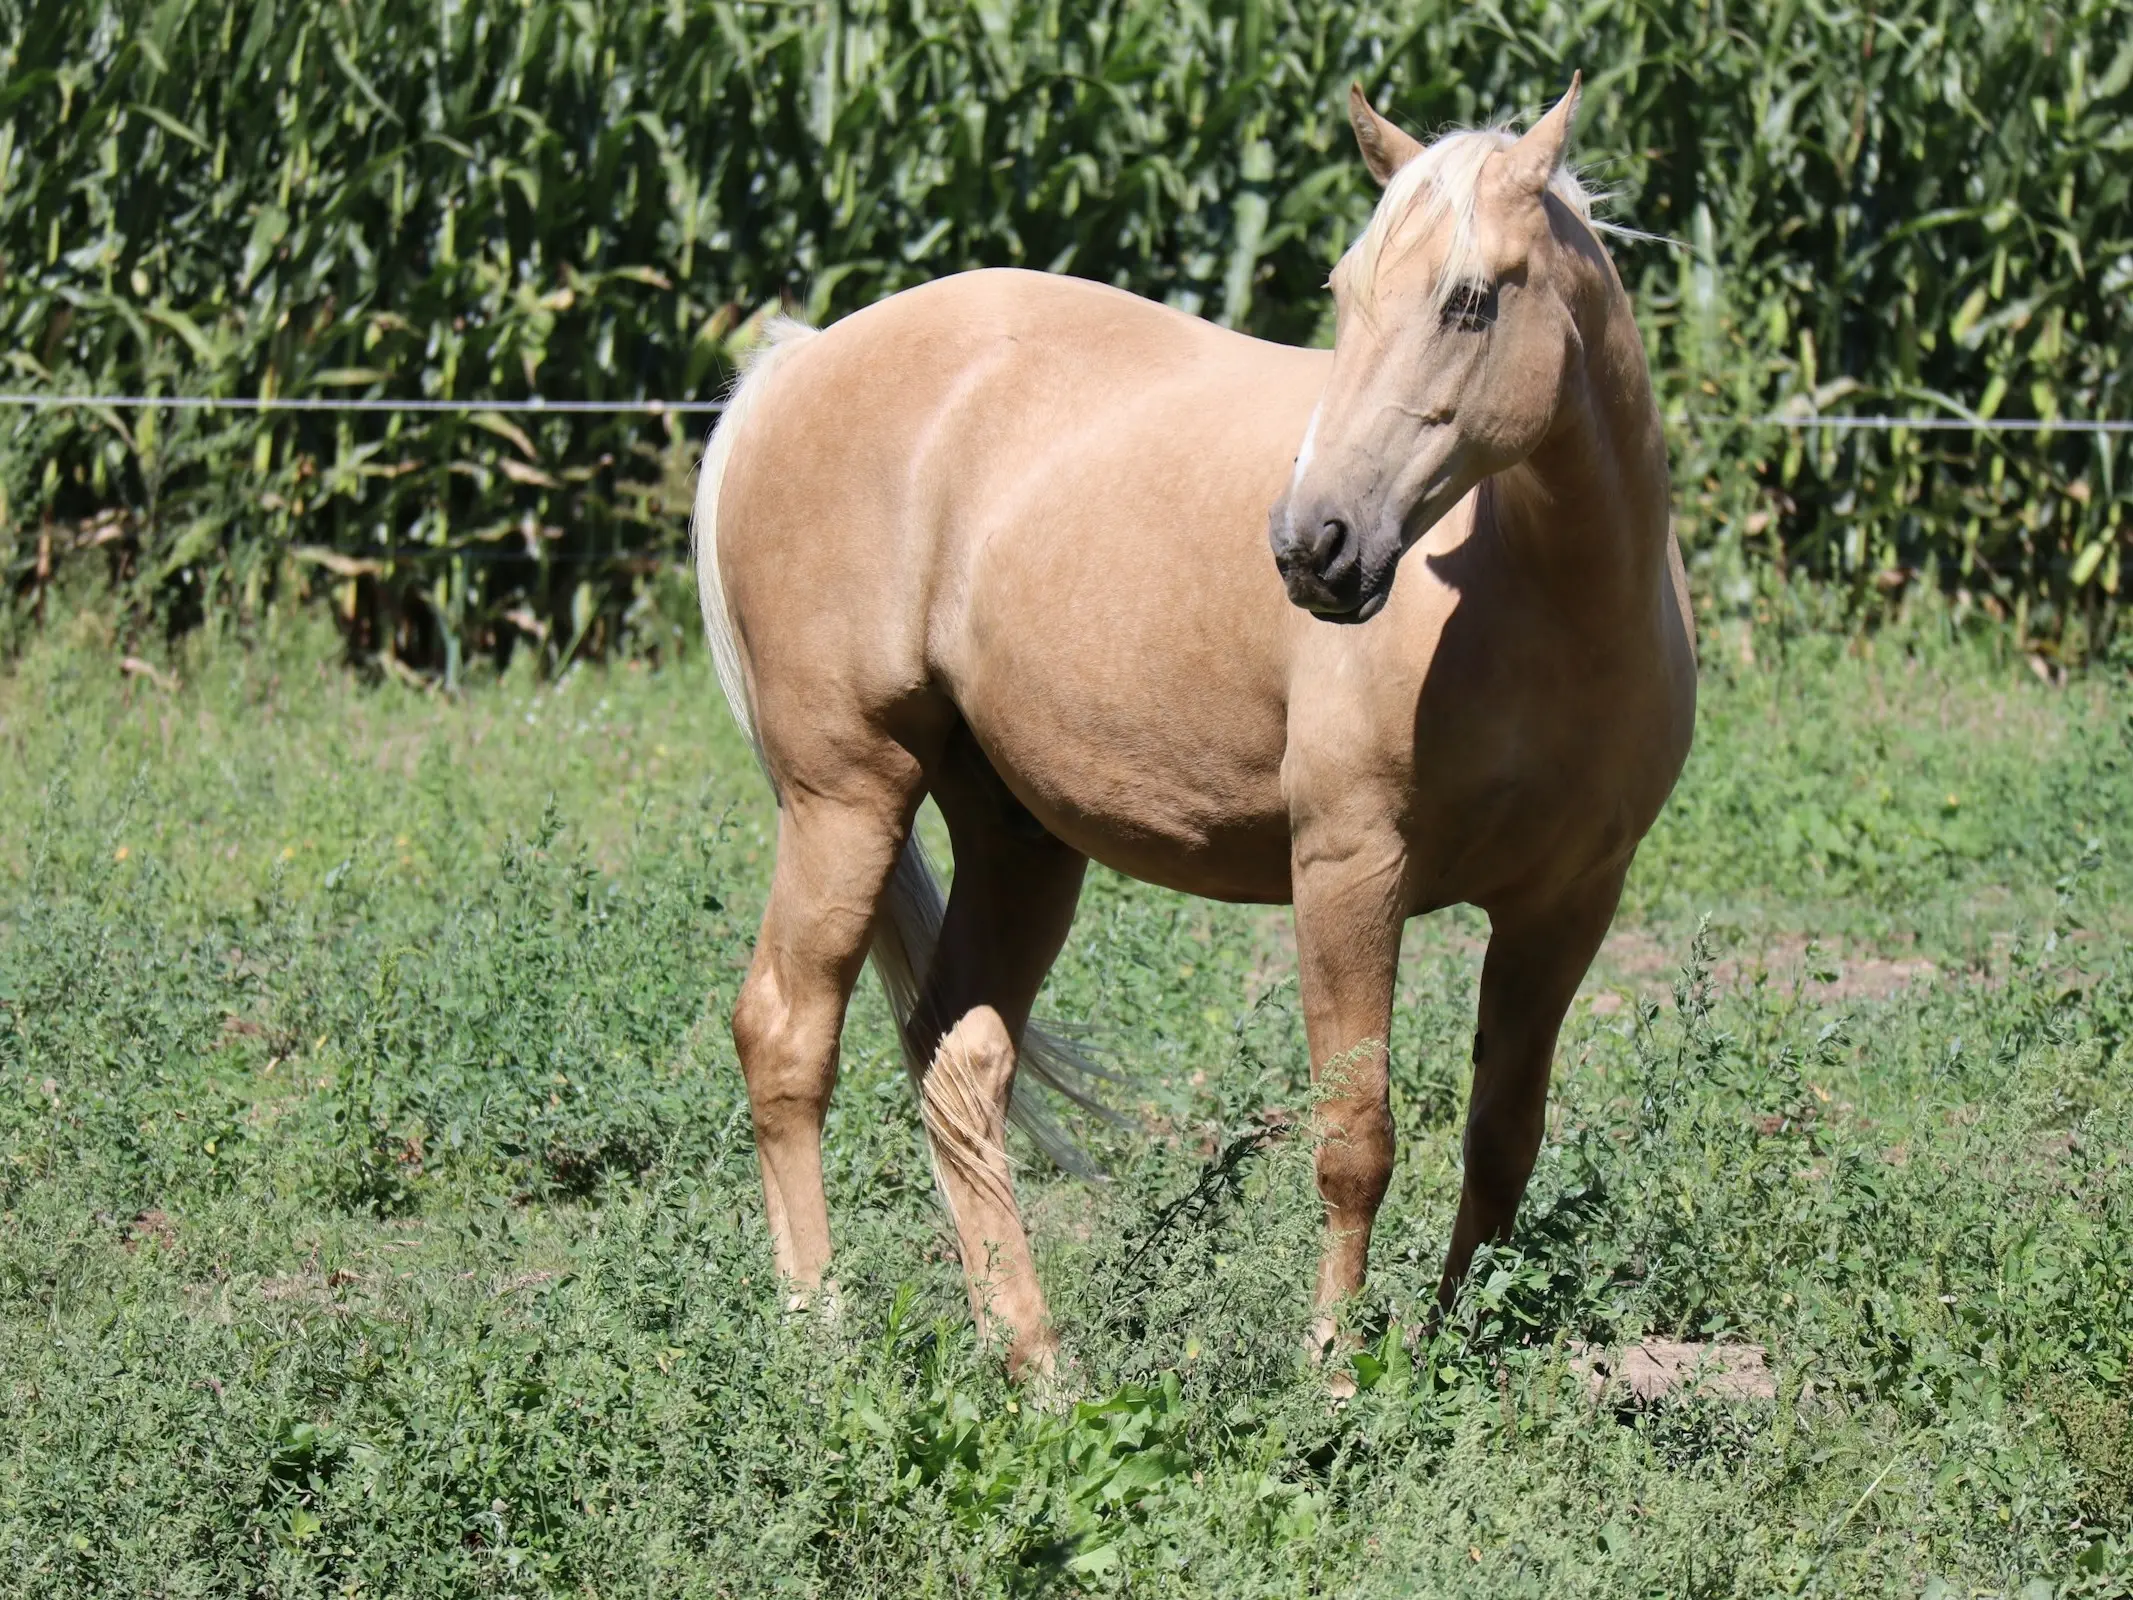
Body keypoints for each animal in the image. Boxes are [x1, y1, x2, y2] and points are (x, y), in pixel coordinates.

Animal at [693, 77, 1696, 1378]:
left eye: (1471, 298)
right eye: (1344, 289)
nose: (1313, 543)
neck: (1543, 604)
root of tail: (802, 360)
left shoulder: (1568, 904)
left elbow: (1502, 1141)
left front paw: (1442, 1351)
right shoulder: (1349, 870)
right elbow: (1355, 1140)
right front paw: (1336, 1377)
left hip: (1018, 837)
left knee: (958, 1061)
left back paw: (1037, 1366)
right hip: (846, 793)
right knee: (785, 1036)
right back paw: (820, 1337)